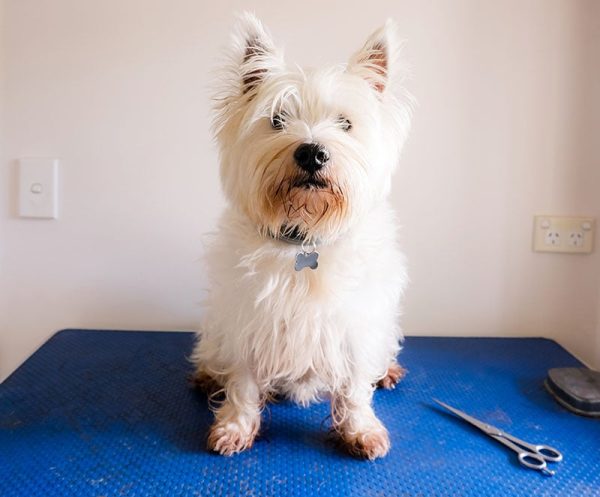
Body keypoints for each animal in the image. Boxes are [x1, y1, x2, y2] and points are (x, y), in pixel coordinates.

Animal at [192, 11, 412, 460]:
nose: (312, 152)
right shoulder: (247, 320)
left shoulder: (353, 325)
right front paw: (235, 427)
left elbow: (354, 387)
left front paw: (361, 430)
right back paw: (208, 375)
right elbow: (243, 383)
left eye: (346, 123)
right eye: (277, 119)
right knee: (213, 352)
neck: (305, 237)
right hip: (218, 326)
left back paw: (388, 371)